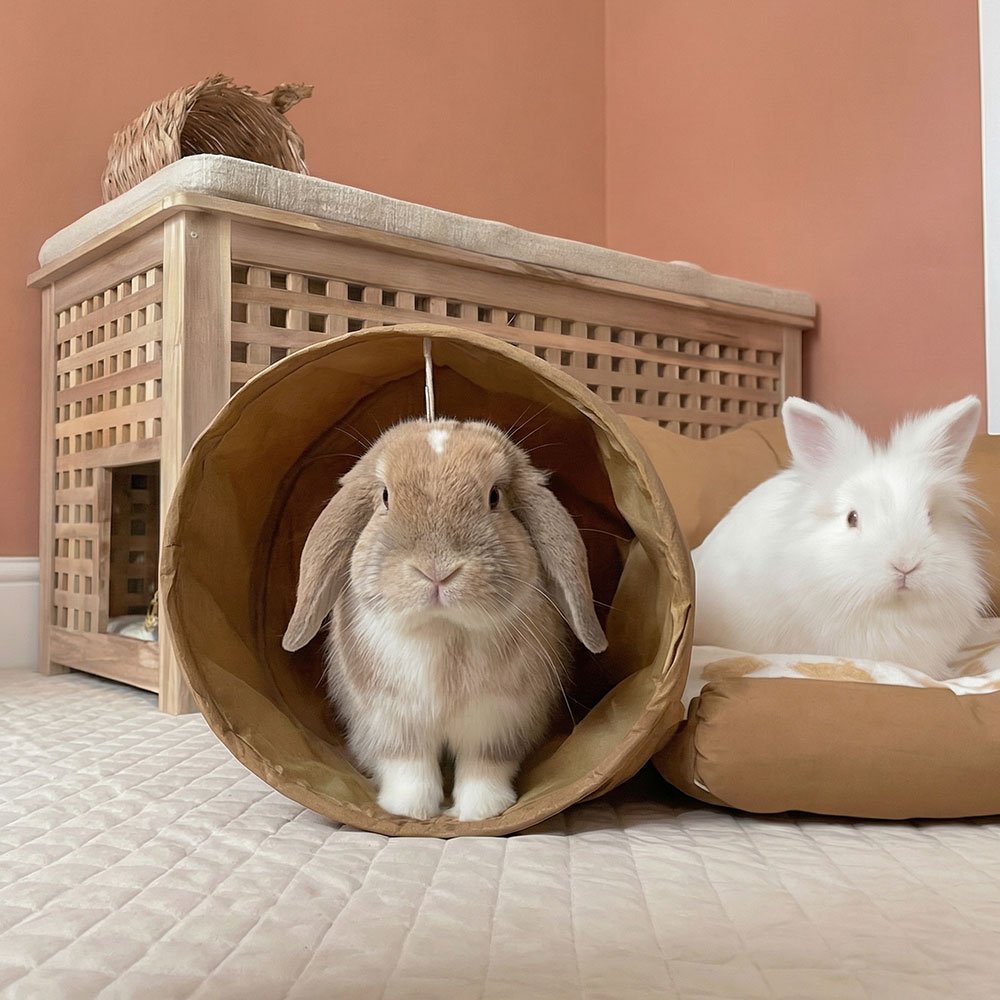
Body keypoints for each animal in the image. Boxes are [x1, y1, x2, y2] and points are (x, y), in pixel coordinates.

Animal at [282, 417, 607, 821]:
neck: (443, 631)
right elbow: (409, 766)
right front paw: (411, 810)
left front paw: (481, 811)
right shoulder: (393, 724)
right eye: (385, 496)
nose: (437, 571)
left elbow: (484, 766)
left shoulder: (497, 724)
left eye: (494, 497)